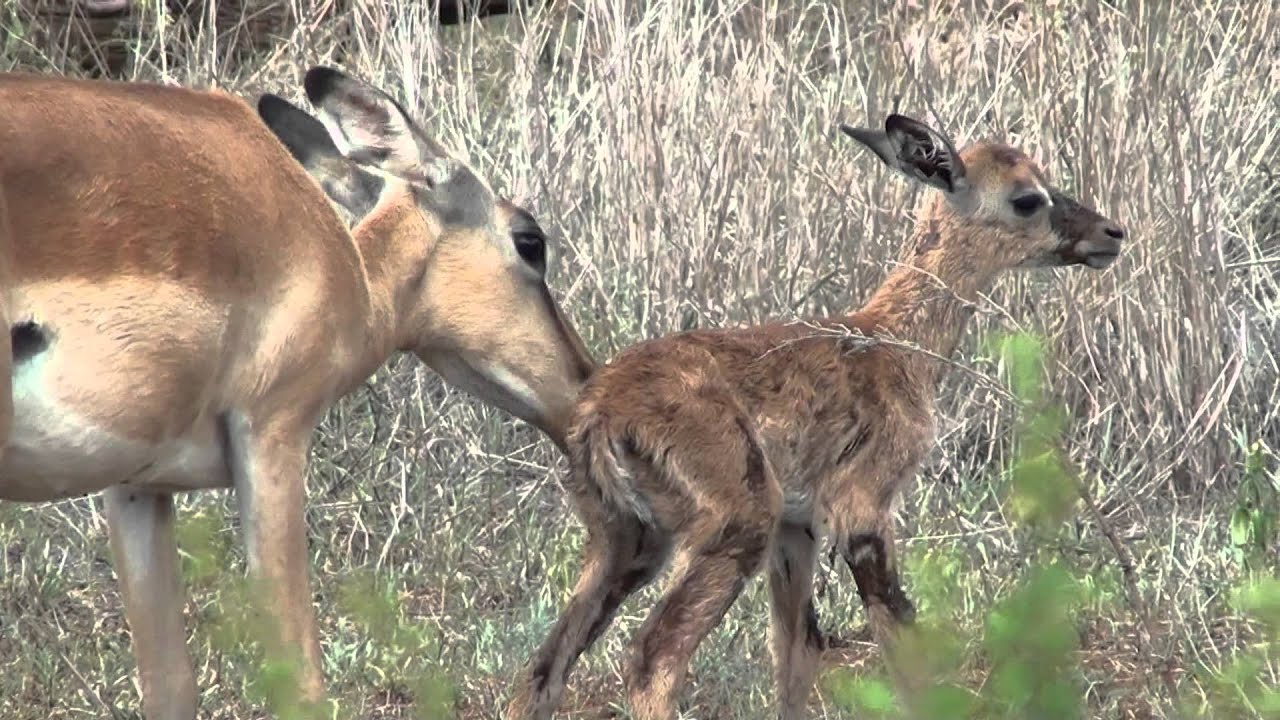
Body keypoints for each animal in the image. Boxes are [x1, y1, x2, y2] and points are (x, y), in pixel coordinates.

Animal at [0, 66, 594, 719]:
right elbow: (299, 676)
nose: (584, 383)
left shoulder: (136, 486)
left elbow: (169, 685)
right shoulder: (272, 434)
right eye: (529, 241)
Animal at [507, 114, 1125, 720]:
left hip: (626, 540)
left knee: (544, 669)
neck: (895, 346)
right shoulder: (861, 509)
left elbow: (797, 655)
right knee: (653, 655)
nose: (1111, 234)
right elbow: (901, 641)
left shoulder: (797, 530)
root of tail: (601, 412)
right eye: (1026, 197)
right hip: (732, 526)